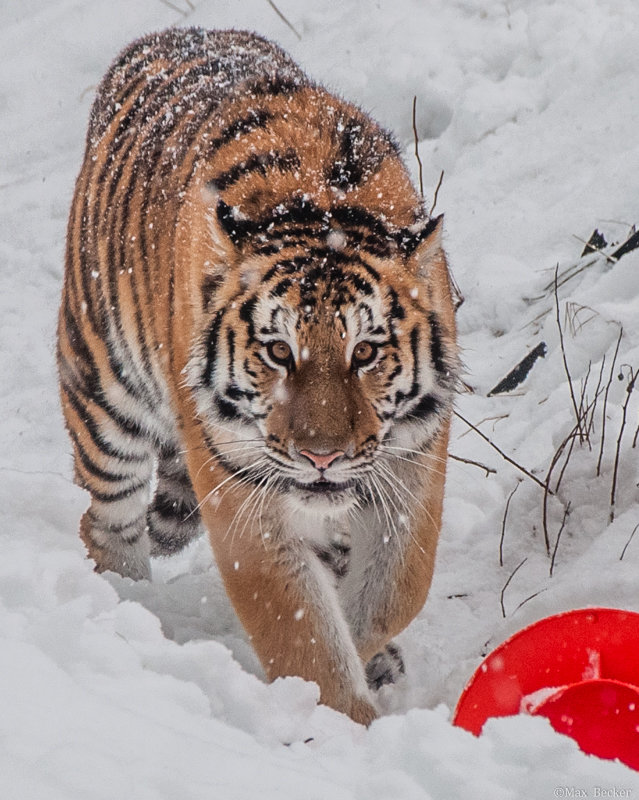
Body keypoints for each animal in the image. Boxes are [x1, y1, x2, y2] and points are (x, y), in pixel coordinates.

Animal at [57, 28, 460, 724]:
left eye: (365, 352)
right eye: (277, 352)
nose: (322, 457)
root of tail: (165, 36)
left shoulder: (412, 464)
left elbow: (395, 590)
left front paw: (368, 653)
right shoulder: (241, 491)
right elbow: (301, 628)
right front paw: (343, 720)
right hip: (103, 394)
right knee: (107, 523)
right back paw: (127, 609)